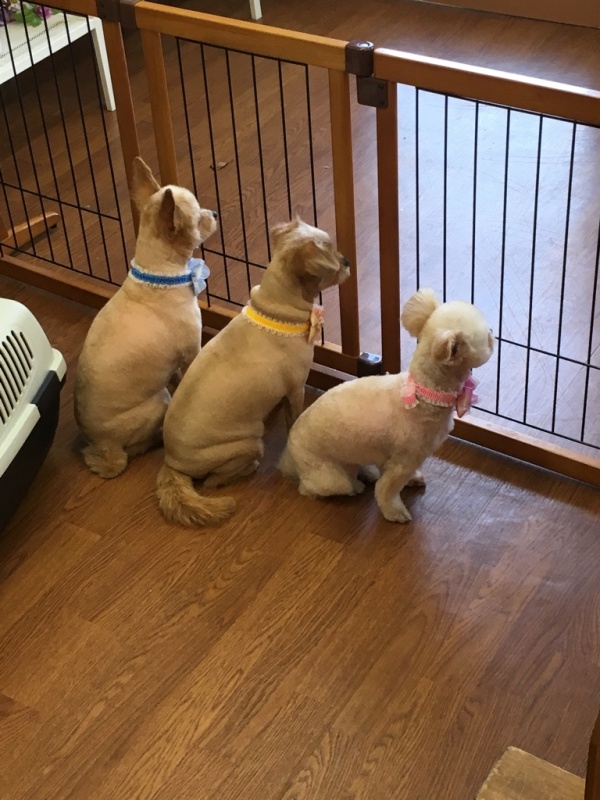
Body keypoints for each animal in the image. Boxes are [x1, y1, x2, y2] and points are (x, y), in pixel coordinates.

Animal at [74, 157, 218, 478]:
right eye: (199, 219)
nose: (215, 213)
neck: (159, 276)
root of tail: (103, 447)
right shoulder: (191, 349)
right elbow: (189, 369)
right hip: (157, 401)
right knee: (136, 446)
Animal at [156, 217, 350, 527]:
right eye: (331, 254)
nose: (346, 260)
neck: (278, 309)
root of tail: (173, 464)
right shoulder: (296, 387)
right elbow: (294, 418)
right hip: (249, 443)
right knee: (213, 480)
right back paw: (249, 468)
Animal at [279, 288, 494, 523]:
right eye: (486, 340)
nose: (493, 332)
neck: (423, 392)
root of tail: (289, 452)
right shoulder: (404, 460)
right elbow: (386, 489)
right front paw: (395, 511)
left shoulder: (396, 457)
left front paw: (412, 480)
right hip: (328, 476)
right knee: (314, 487)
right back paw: (354, 485)